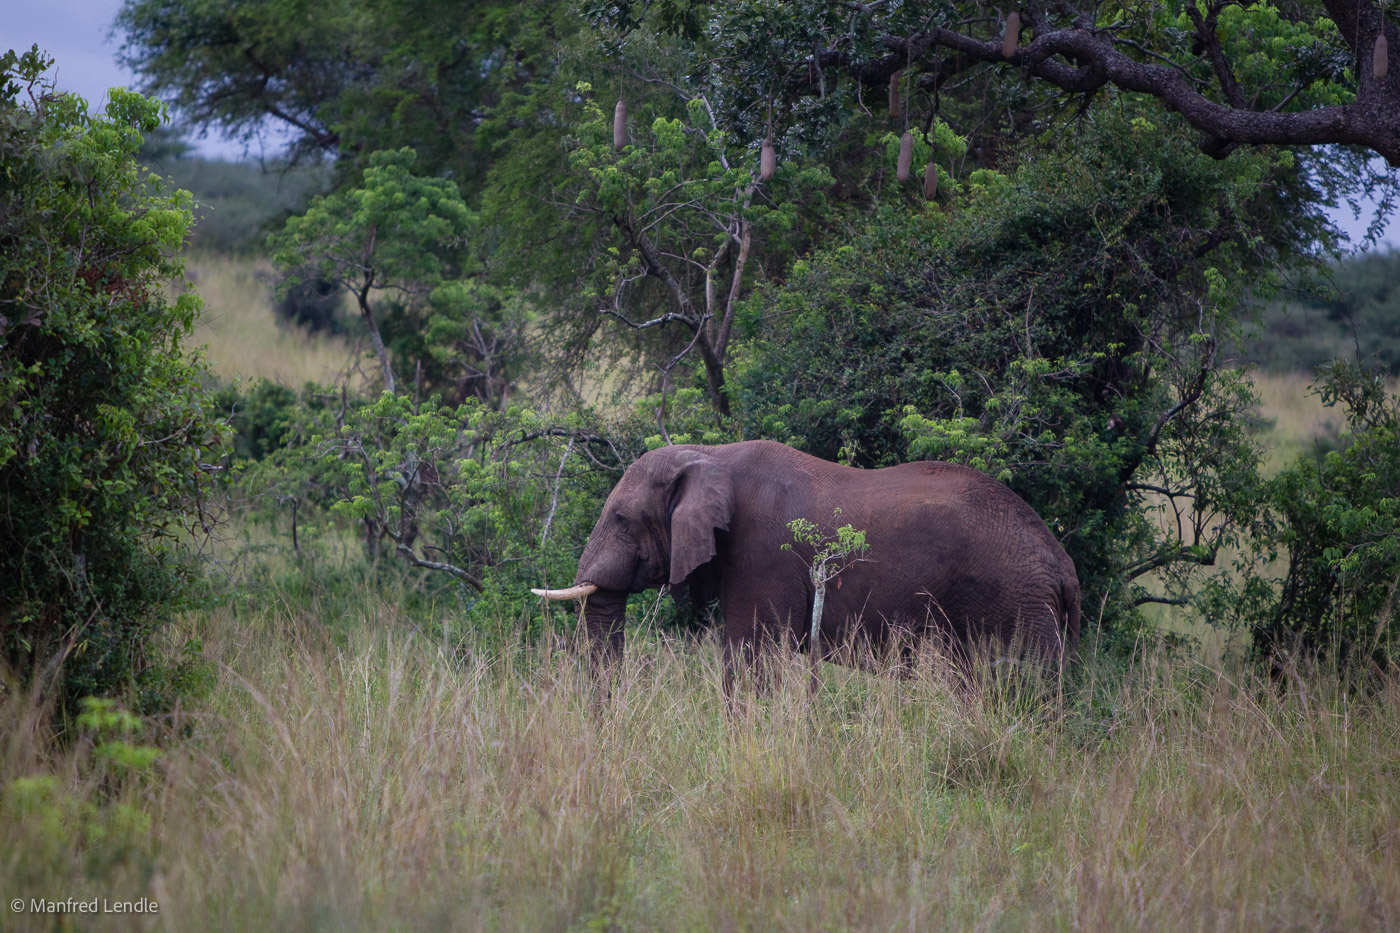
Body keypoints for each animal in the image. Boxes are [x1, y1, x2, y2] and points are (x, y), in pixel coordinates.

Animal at [529, 437, 1075, 683]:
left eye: (621, 518)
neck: (709, 454)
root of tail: (1062, 565)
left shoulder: (761, 555)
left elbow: (749, 660)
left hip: (1014, 601)